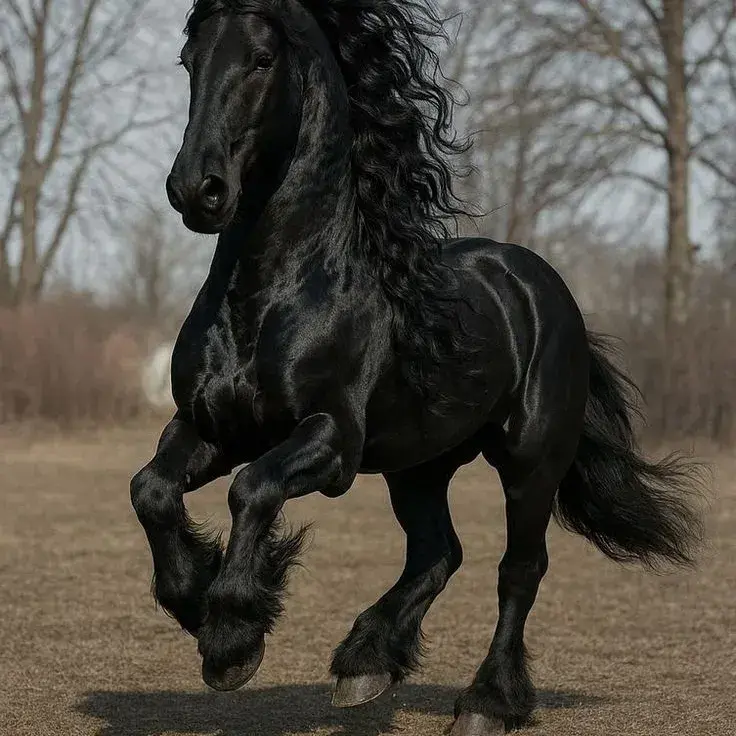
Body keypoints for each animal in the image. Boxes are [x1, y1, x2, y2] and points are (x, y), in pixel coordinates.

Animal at [129, 1, 705, 733]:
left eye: (261, 59)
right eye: (190, 59)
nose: (195, 189)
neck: (273, 294)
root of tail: (540, 284)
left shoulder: (332, 441)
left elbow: (251, 489)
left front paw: (232, 637)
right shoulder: (210, 426)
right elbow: (150, 490)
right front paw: (195, 602)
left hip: (531, 460)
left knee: (519, 569)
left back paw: (487, 701)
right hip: (418, 465)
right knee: (439, 552)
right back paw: (365, 663)